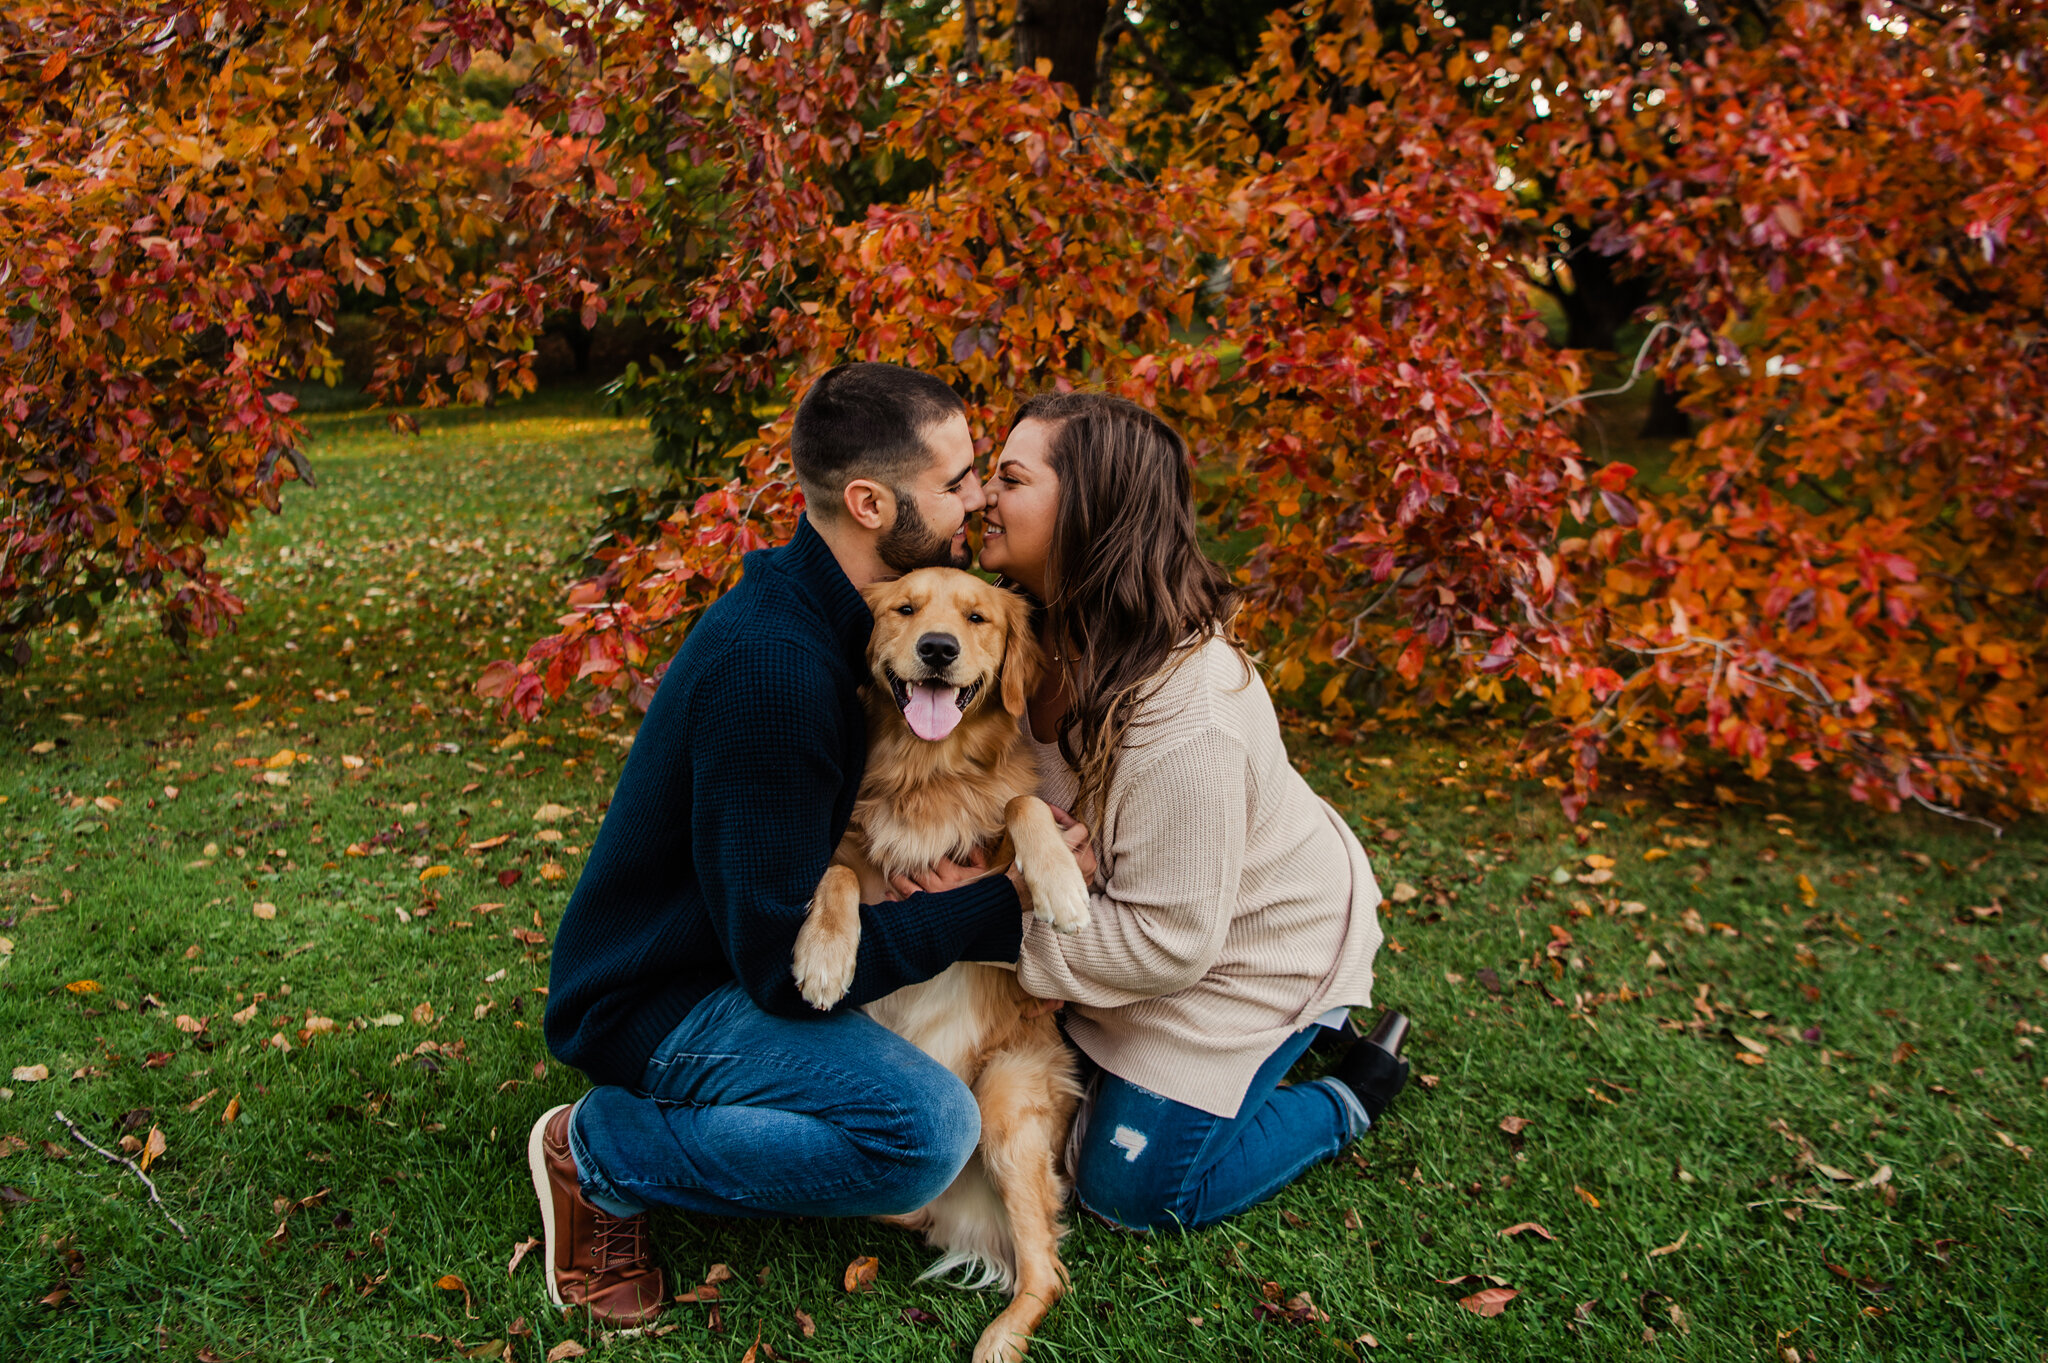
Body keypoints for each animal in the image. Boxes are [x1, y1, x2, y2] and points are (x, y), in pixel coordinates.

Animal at [790, 560, 1097, 1358]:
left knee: (1048, 1274)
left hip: (1004, 1099)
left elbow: (1022, 806)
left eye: (977, 617)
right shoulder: (858, 857)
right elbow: (834, 875)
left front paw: (1059, 881)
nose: (937, 648)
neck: (929, 768)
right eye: (905, 608)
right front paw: (824, 958)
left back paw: (1001, 1339)